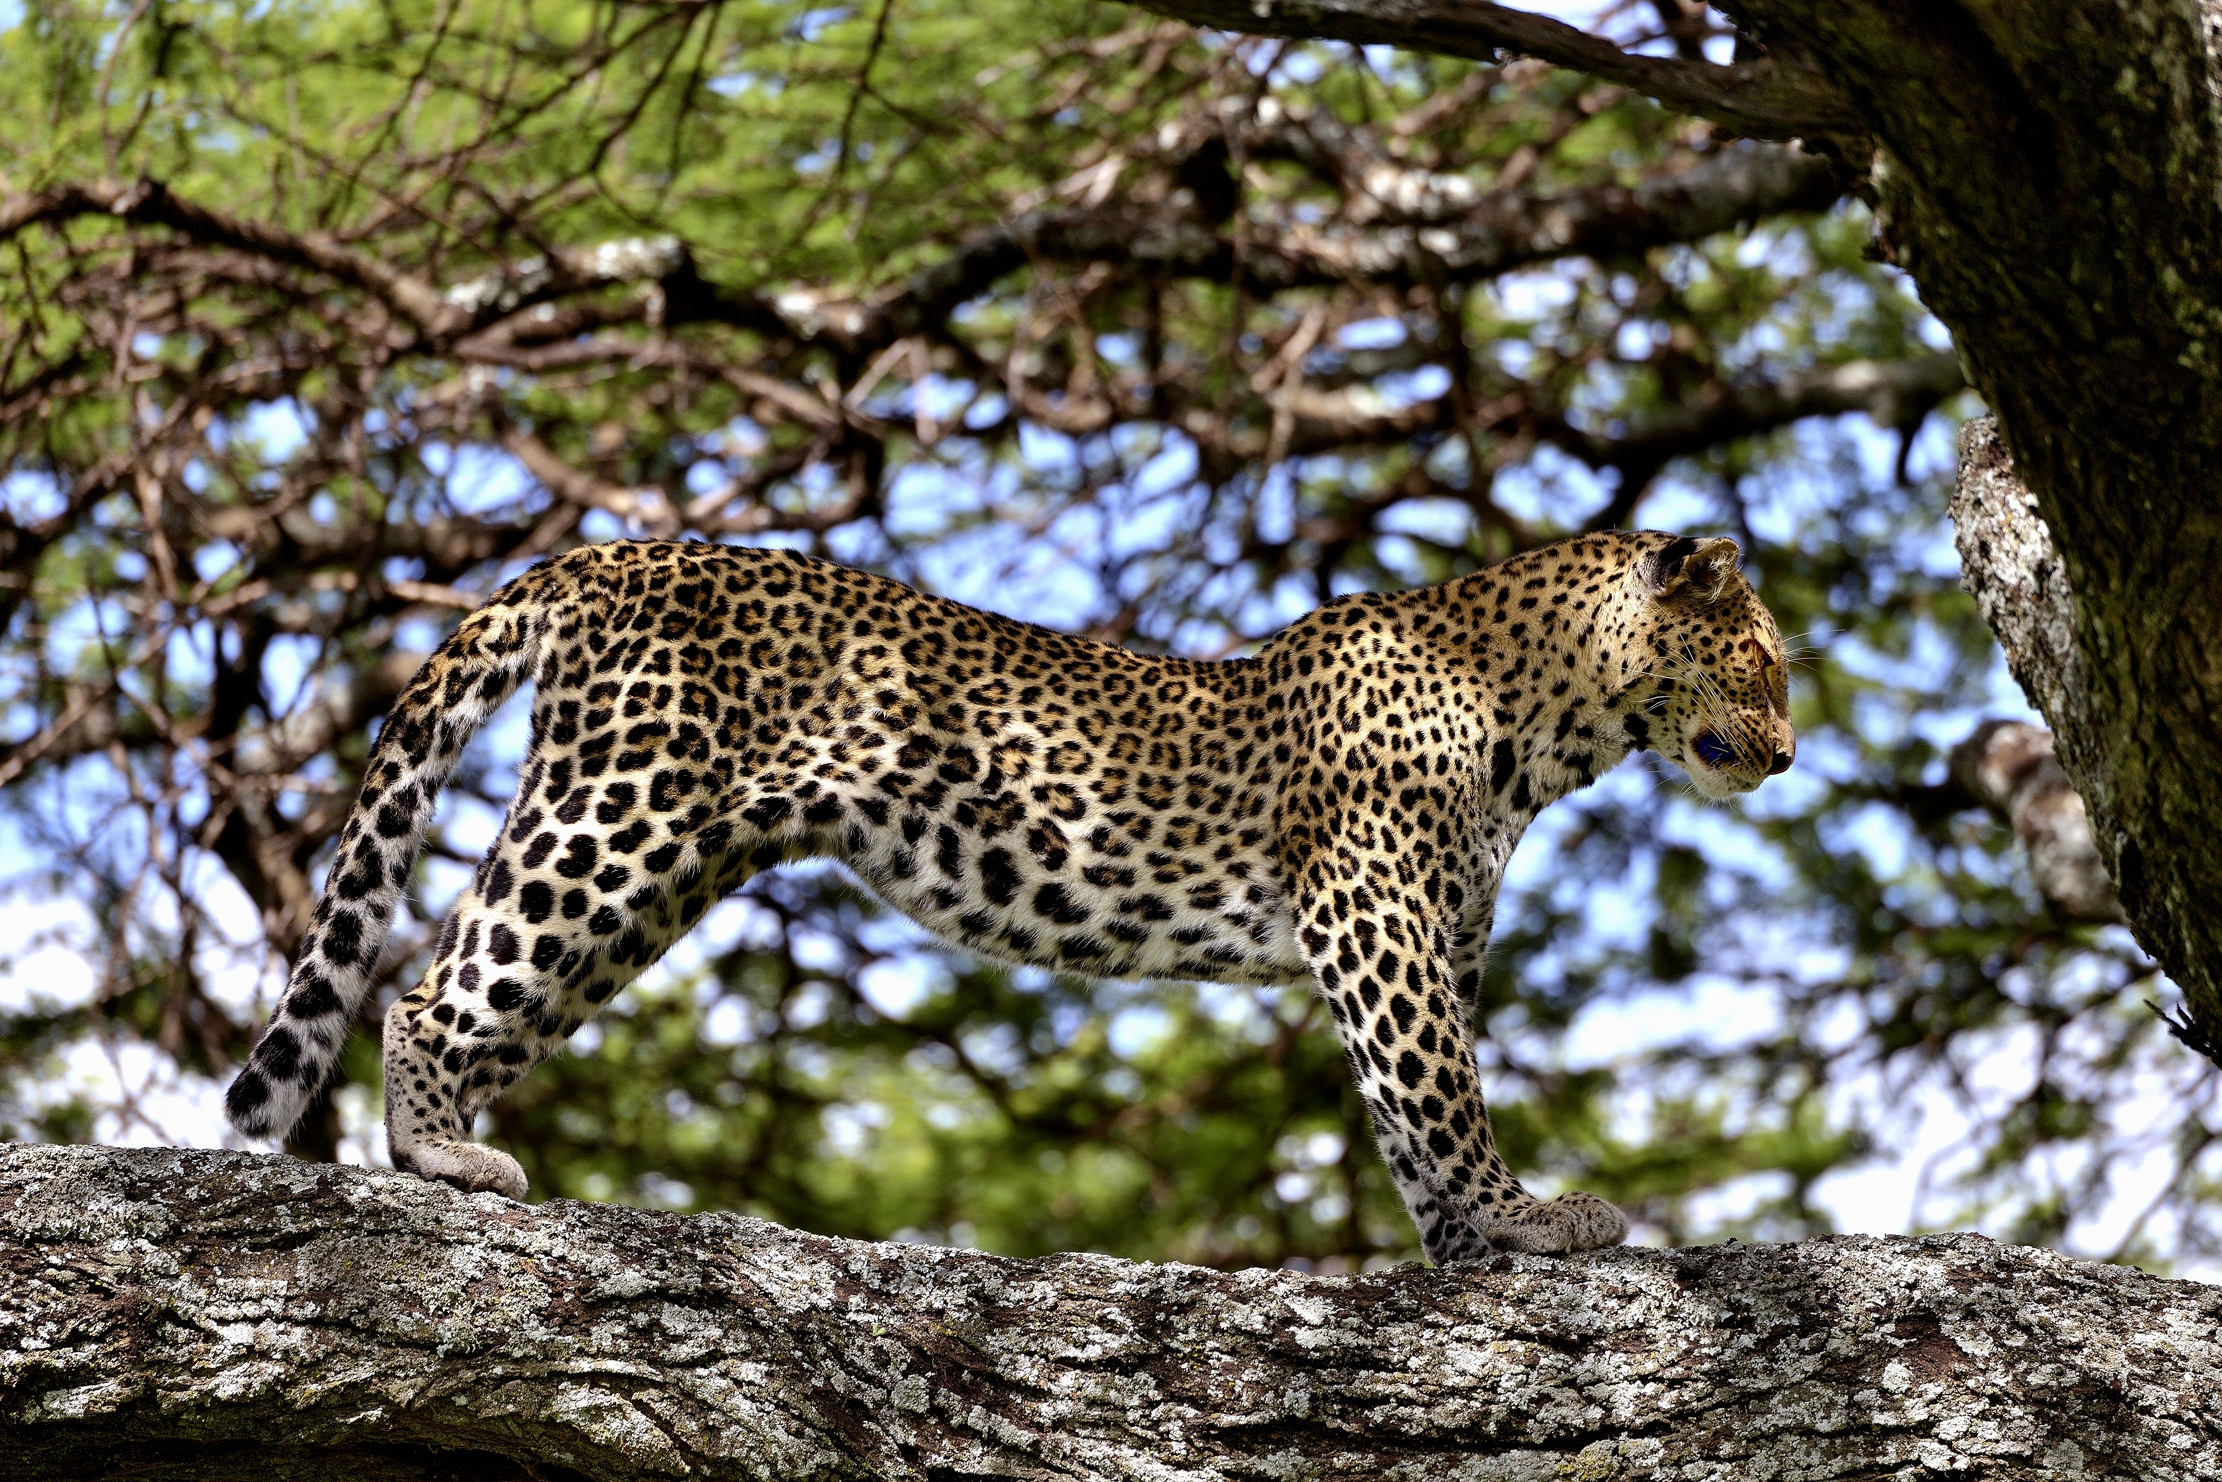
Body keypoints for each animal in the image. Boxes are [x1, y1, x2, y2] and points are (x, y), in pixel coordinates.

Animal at [225, 529, 1794, 1263]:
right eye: (1768, 663)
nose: (1786, 754)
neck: (1548, 719)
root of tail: (612, 549)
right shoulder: (1371, 908)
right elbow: (1438, 1087)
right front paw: (1527, 1220)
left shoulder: (1422, 932)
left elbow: (1412, 1112)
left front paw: (1467, 1249)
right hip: (623, 815)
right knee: (430, 986)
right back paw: (441, 1158)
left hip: (670, 868)